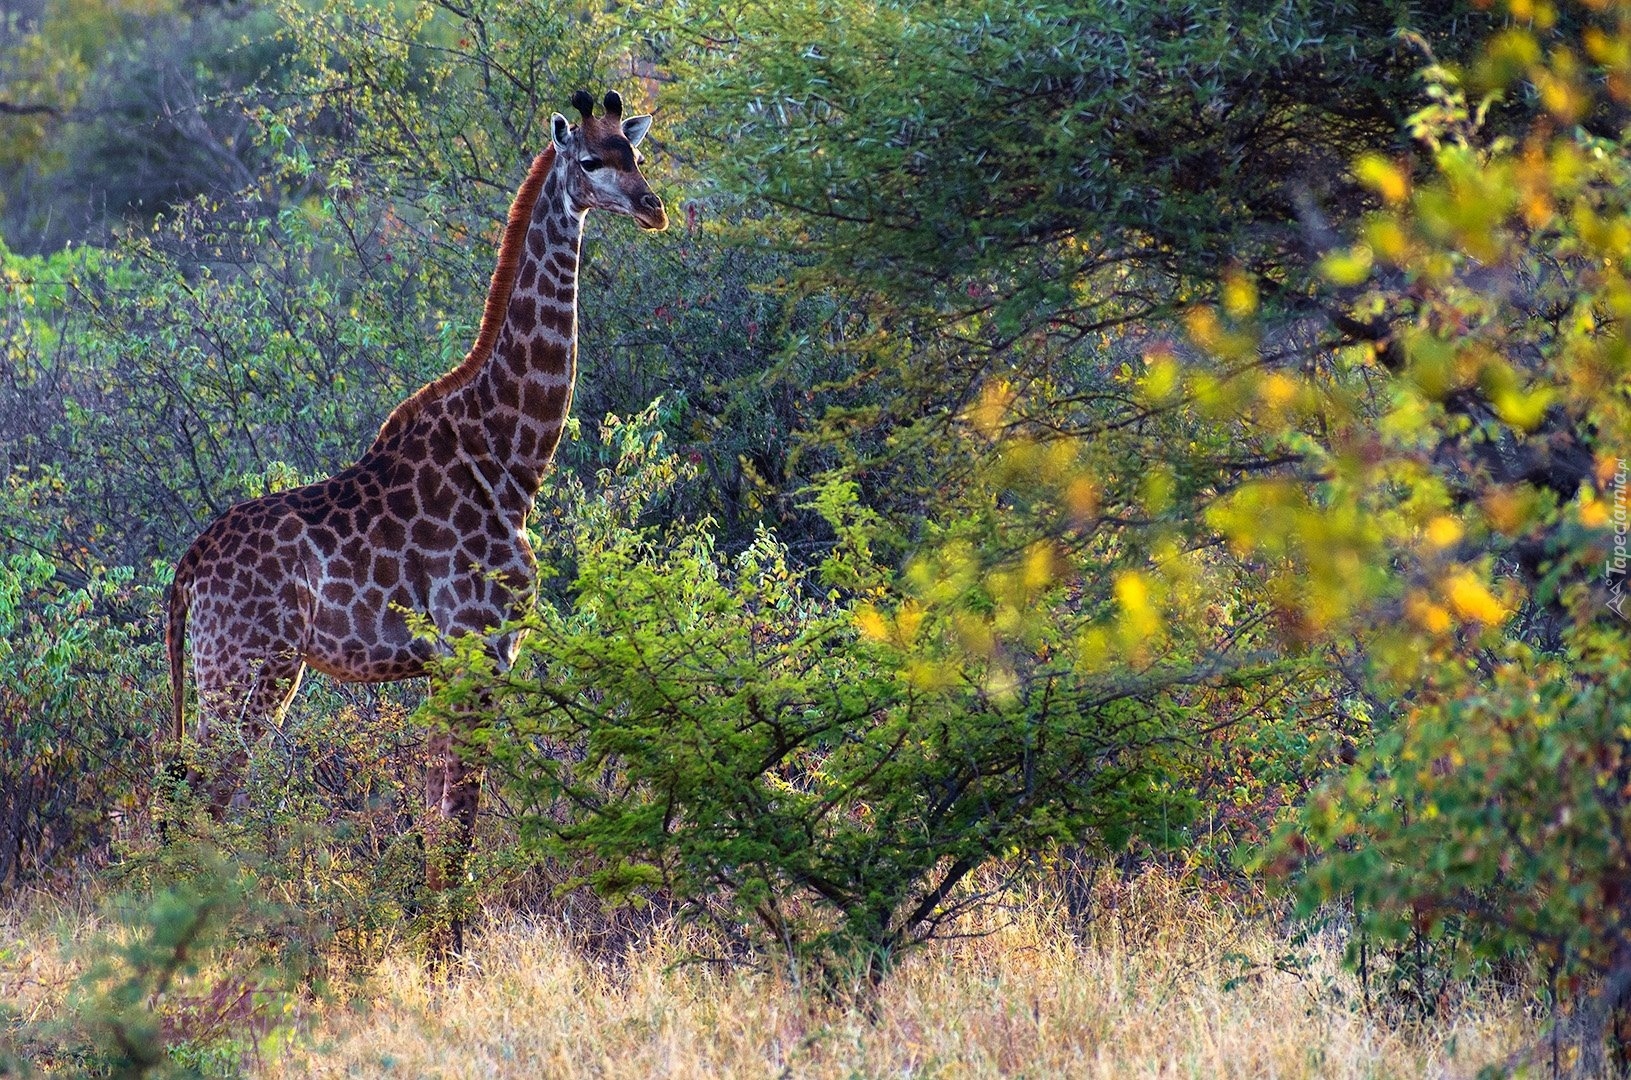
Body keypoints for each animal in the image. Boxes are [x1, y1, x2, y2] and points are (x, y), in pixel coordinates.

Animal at [165, 90, 668, 959]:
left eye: (636, 155)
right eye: (590, 162)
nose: (651, 207)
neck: (513, 458)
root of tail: (186, 571)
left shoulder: (453, 665)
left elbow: (437, 827)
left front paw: (438, 952)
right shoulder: (477, 650)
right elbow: (458, 827)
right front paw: (449, 962)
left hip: (236, 673)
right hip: (247, 671)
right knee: (195, 808)